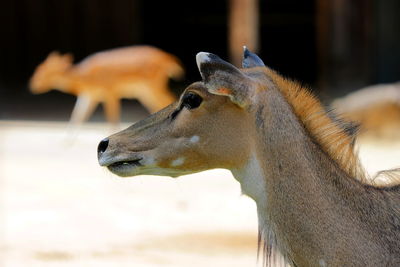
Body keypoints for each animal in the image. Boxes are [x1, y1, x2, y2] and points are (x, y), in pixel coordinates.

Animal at [30, 45, 184, 124]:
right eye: (38, 68)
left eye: (44, 71)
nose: (32, 85)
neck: (85, 80)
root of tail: (170, 60)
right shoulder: (89, 96)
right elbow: (78, 115)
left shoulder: (110, 91)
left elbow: (111, 118)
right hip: (144, 91)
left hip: (152, 86)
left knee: (167, 100)